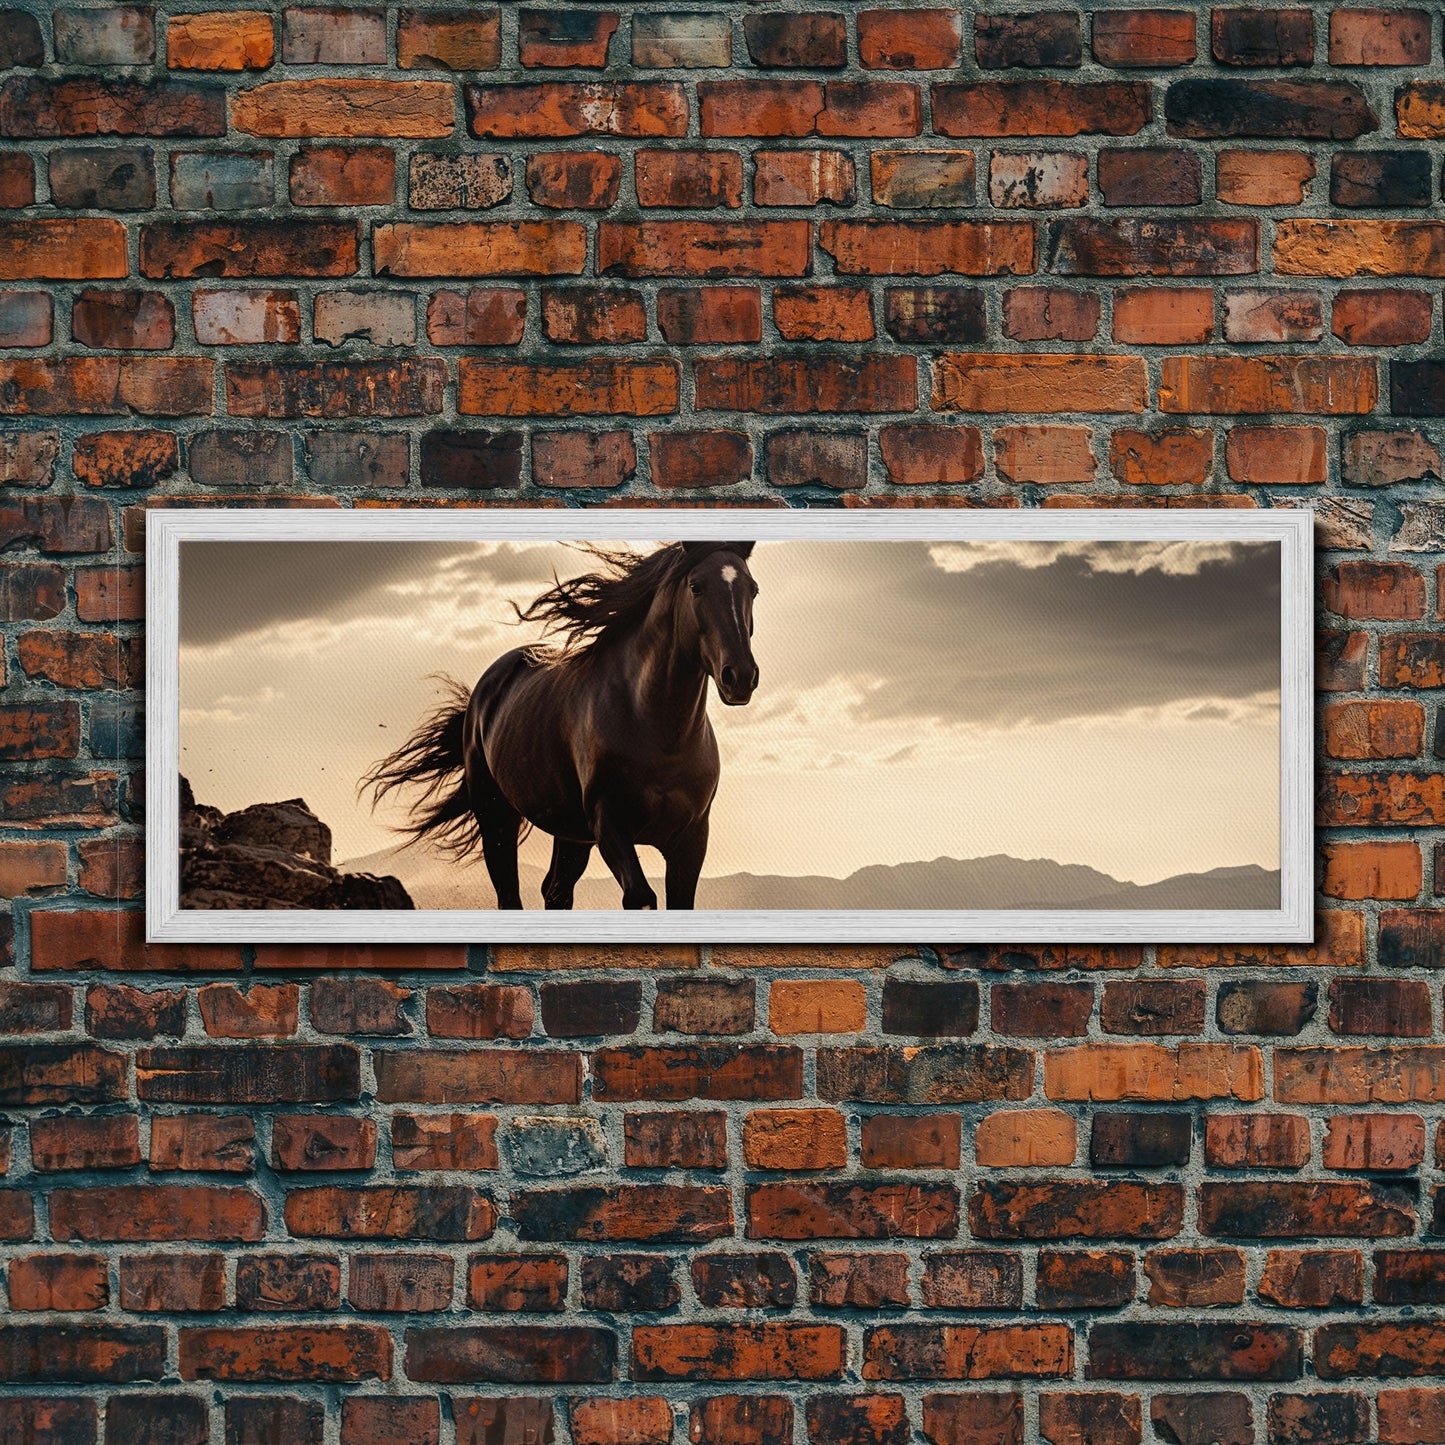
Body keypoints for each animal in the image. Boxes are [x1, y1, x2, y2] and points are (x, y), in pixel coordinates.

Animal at [363, 541, 760, 910]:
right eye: (696, 586)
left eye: (752, 589)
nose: (740, 677)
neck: (659, 735)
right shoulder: (609, 825)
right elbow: (641, 896)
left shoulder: (690, 839)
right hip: (497, 820)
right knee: (511, 895)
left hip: (571, 835)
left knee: (556, 891)